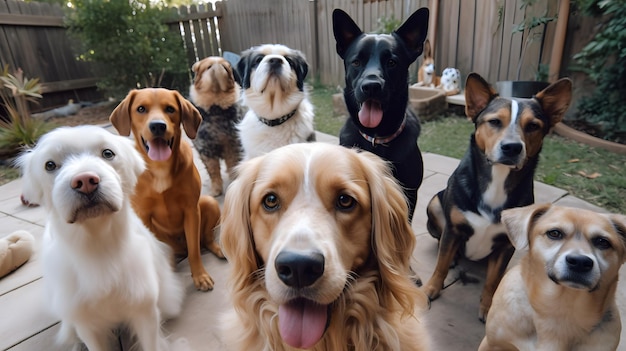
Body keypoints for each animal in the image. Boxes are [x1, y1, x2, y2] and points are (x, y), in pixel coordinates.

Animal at [17, 126, 183, 351]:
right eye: (49, 165)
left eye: (108, 153)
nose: (85, 181)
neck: (98, 243)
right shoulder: (86, 324)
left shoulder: (144, 310)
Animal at [109, 88, 222, 292]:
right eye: (141, 109)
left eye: (170, 109)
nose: (157, 126)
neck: (160, 168)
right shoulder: (144, 215)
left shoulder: (191, 211)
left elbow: (194, 250)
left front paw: (200, 275)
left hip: (208, 203)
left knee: (205, 239)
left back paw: (216, 248)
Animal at [420, 73, 572, 320]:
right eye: (494, 122)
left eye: (533, 126)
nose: (512, 147)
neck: (497, 179)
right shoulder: (453, 229)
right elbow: (440, 264)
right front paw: (430, 290)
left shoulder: (506, 245)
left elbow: (492, 280)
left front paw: (488, 306)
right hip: (434, 204)